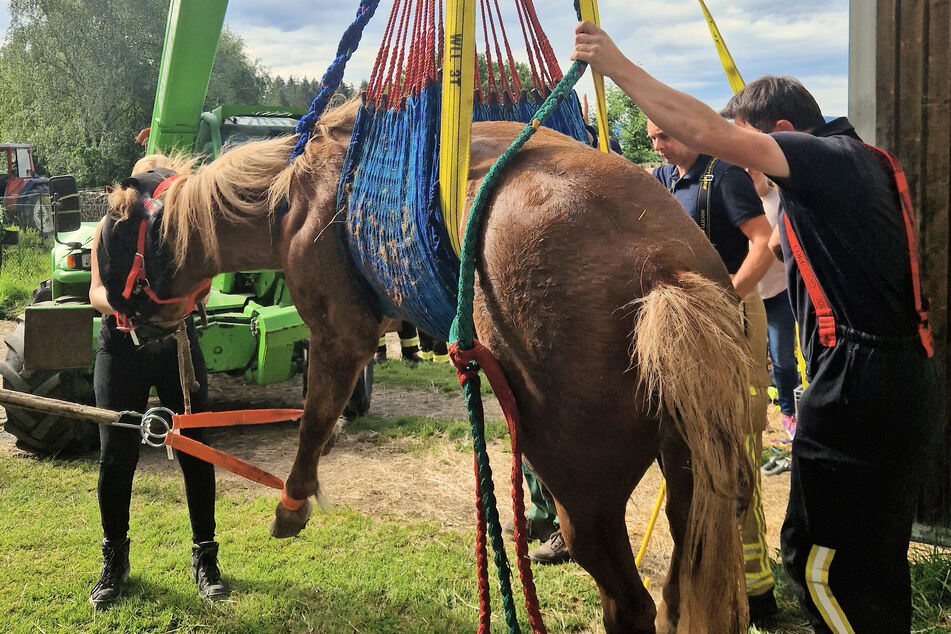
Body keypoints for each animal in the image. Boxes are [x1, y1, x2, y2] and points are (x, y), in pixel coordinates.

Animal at [108, 101, 756, 628]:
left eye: (117, 242)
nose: (123, 322)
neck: (293, 193)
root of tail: (663, 269)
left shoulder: (341, 332)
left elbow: (314, 418)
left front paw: (294, 502)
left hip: (585, 491)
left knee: (630, 603)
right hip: (691, 474)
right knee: (676, 594)